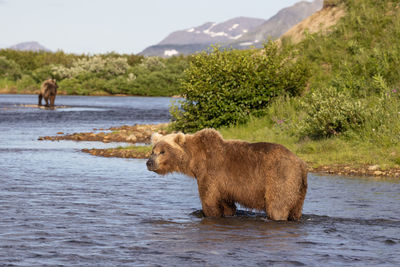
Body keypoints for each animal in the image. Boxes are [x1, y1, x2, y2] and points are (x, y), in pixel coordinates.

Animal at [148, 129, 308, 222]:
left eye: (163, 151)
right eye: (153, 150)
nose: (149, 163)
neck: (194, 160)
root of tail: (300, 163)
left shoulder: (210, 173)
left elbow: (209, 199)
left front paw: (208, 213)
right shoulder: (224, 184)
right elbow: (227, 204)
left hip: (280, 177)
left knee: (277, 206)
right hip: (299, 187)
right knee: (296, 209)